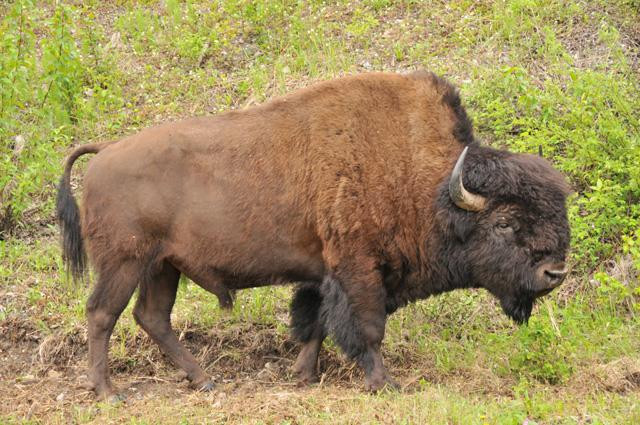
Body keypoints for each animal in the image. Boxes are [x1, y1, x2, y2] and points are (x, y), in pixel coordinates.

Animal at [56, 69, 568, 398]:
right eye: (505, 222)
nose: (555, 273)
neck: (427, 181)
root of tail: (105, 152)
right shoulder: (358, 269)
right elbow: (366, 327)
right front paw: (385, 384)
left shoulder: (323, 273)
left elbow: (315, 321)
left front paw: (302, 375)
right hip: (125, 263)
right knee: (102, 314)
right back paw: (108, 392)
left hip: (163, 266)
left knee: (152, 317)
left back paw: (204, 380)